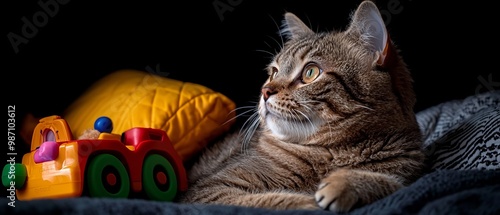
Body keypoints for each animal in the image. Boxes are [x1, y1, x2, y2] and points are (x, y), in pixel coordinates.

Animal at [178, 0, 424, 212]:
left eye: (310, 72)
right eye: (273, 72)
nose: (265, 91)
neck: (334, 152)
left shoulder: (409, 173)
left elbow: (391, 183)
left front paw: (347, 183)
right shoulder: (209, 189)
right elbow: (271, 201)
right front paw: (309, 201)